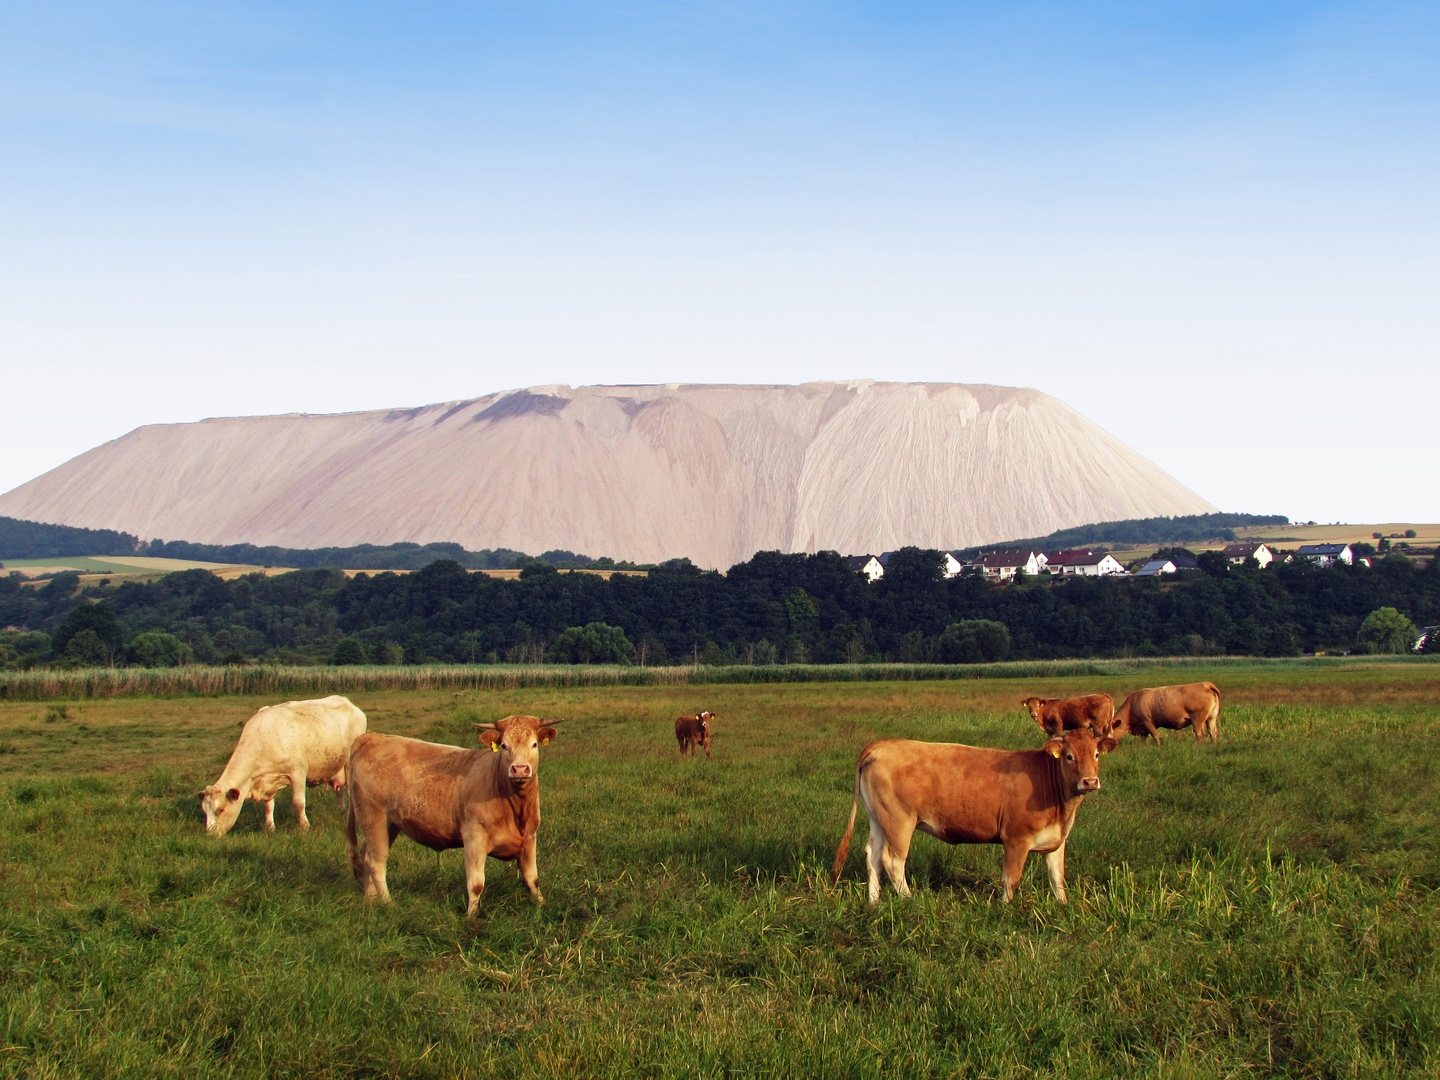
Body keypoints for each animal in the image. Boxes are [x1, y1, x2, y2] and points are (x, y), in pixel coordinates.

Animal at [200, 696, 368, 840]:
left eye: (220, 809)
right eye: (204, 811)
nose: (210, 835)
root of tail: (349, 703)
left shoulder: (298, 772)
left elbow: (298, 802)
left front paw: (304, 826)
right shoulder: (266, 782)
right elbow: (268, 806)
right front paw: (270, 828)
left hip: (349, 763)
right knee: (339, 789)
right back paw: (341, 811)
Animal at [345, 714, 564, 915]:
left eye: (534, 744)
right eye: (504, 746)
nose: (519, 769)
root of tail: (372, 737)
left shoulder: (529, 838)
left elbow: (532, 878)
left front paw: (542, 905)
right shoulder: (474, 838)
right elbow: (476, 884)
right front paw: (471, 918)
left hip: (389, 824)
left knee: (366, 855)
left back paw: (370, 899)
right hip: (373, 817)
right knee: (376, 862)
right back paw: (388, 903)